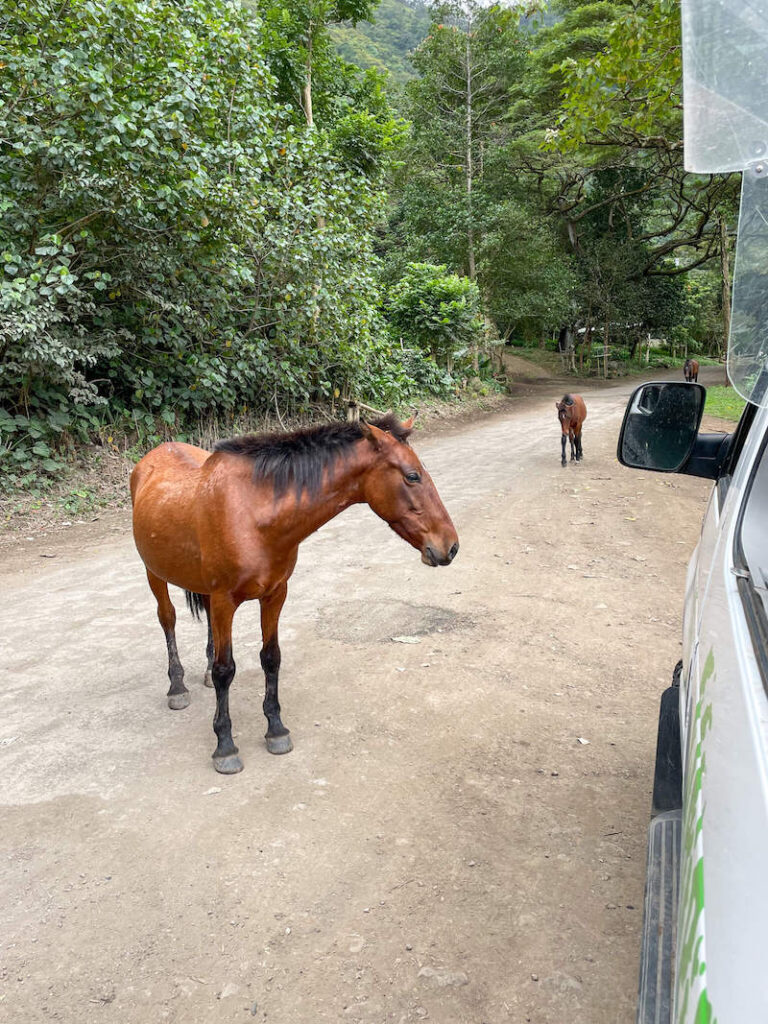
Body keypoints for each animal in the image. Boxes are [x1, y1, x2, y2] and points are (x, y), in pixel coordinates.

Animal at [129, 415, 460, 774]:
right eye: (412, 476)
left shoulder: (275, 594)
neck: (254, 515)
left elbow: (271, 658)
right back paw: (177, 686)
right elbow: (225, 670)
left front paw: (276, 729)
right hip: (154, 574)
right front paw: (225, 745)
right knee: (168, 620)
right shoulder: (224, 601)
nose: (450, 546)